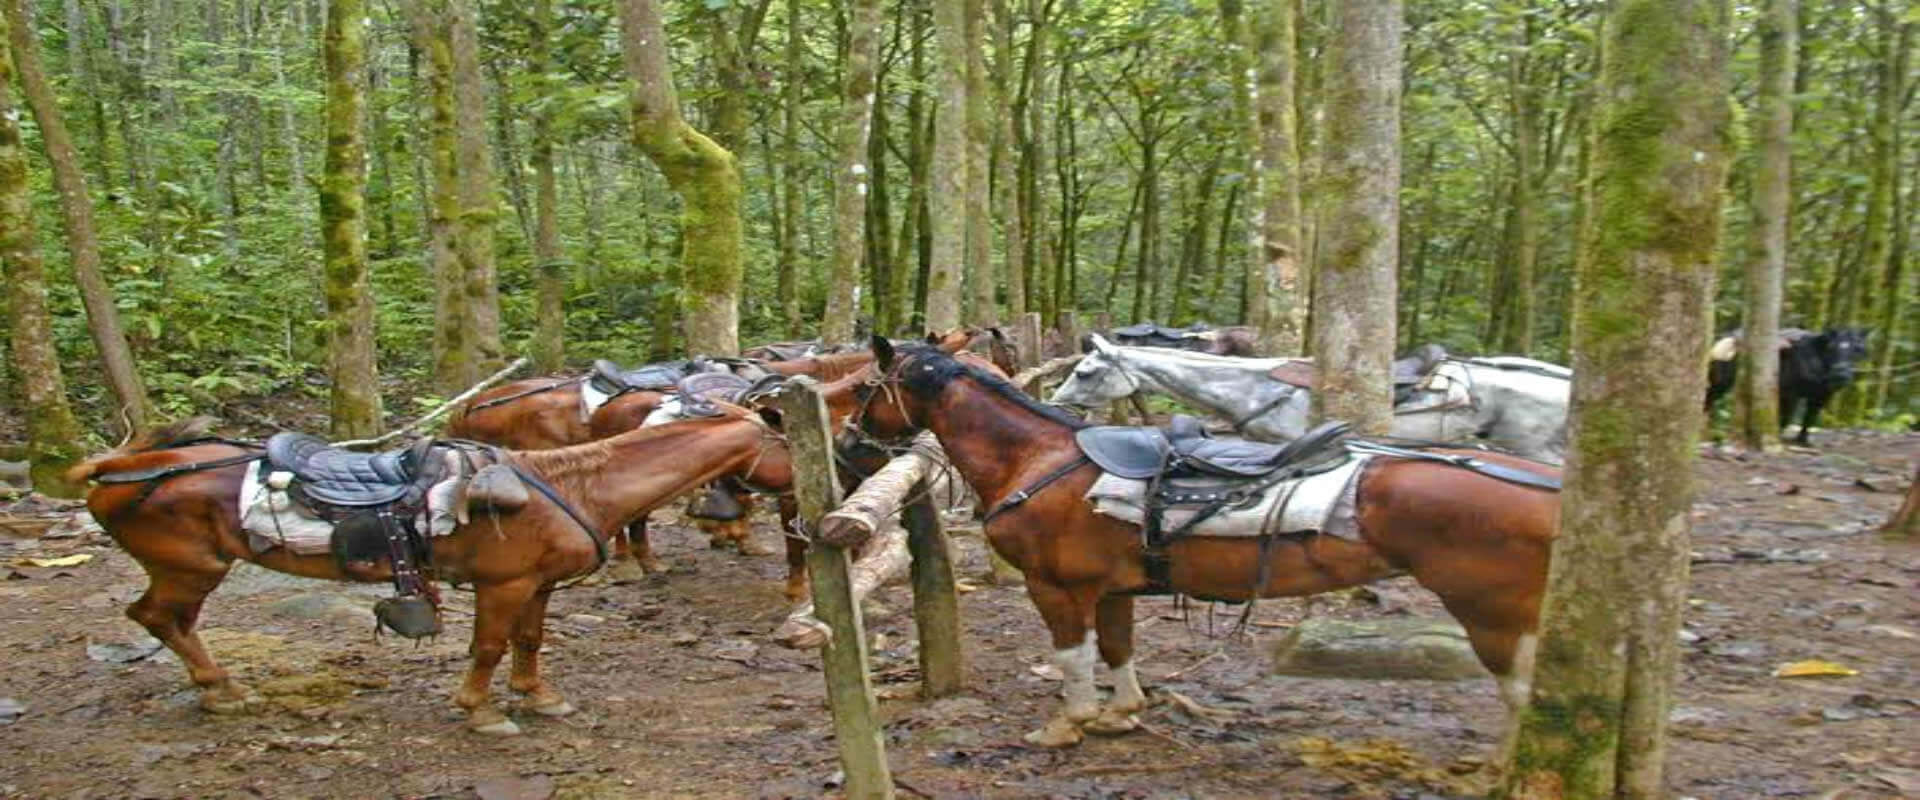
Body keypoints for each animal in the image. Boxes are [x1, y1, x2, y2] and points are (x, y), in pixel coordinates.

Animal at [74, 404, 791, 736]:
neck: (575, 485)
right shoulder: (503, 586)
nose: (809, 489)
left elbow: (530, 642)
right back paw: (220, 689)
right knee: (159, 618)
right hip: (189, 568)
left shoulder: (537, 586)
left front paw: (538, 697)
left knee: (164, 621)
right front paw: (481, 712)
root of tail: (117, 470)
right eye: (786, 441)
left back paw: (218, 688)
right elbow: (489, 647)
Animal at [856, 337, 1559, 748]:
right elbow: (1118, 651)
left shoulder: (1056, 588)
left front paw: (1068, 724)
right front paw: (1120, 713)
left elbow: (1073, 658)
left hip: (1494, 614)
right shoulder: (1113, 590)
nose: (850, 442)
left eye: (864, 387)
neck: (1038, 458)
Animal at [1704, 328, 1866, 445]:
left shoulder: (1822, 396)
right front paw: (1780, 437)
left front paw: (1803, 441)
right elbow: (1787, 416)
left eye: (1857, 350)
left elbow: (1810, 417)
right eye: (1831, 348)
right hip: (1721, 384)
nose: (1841, 374)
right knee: (1707, 400)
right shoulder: (1790, 393)